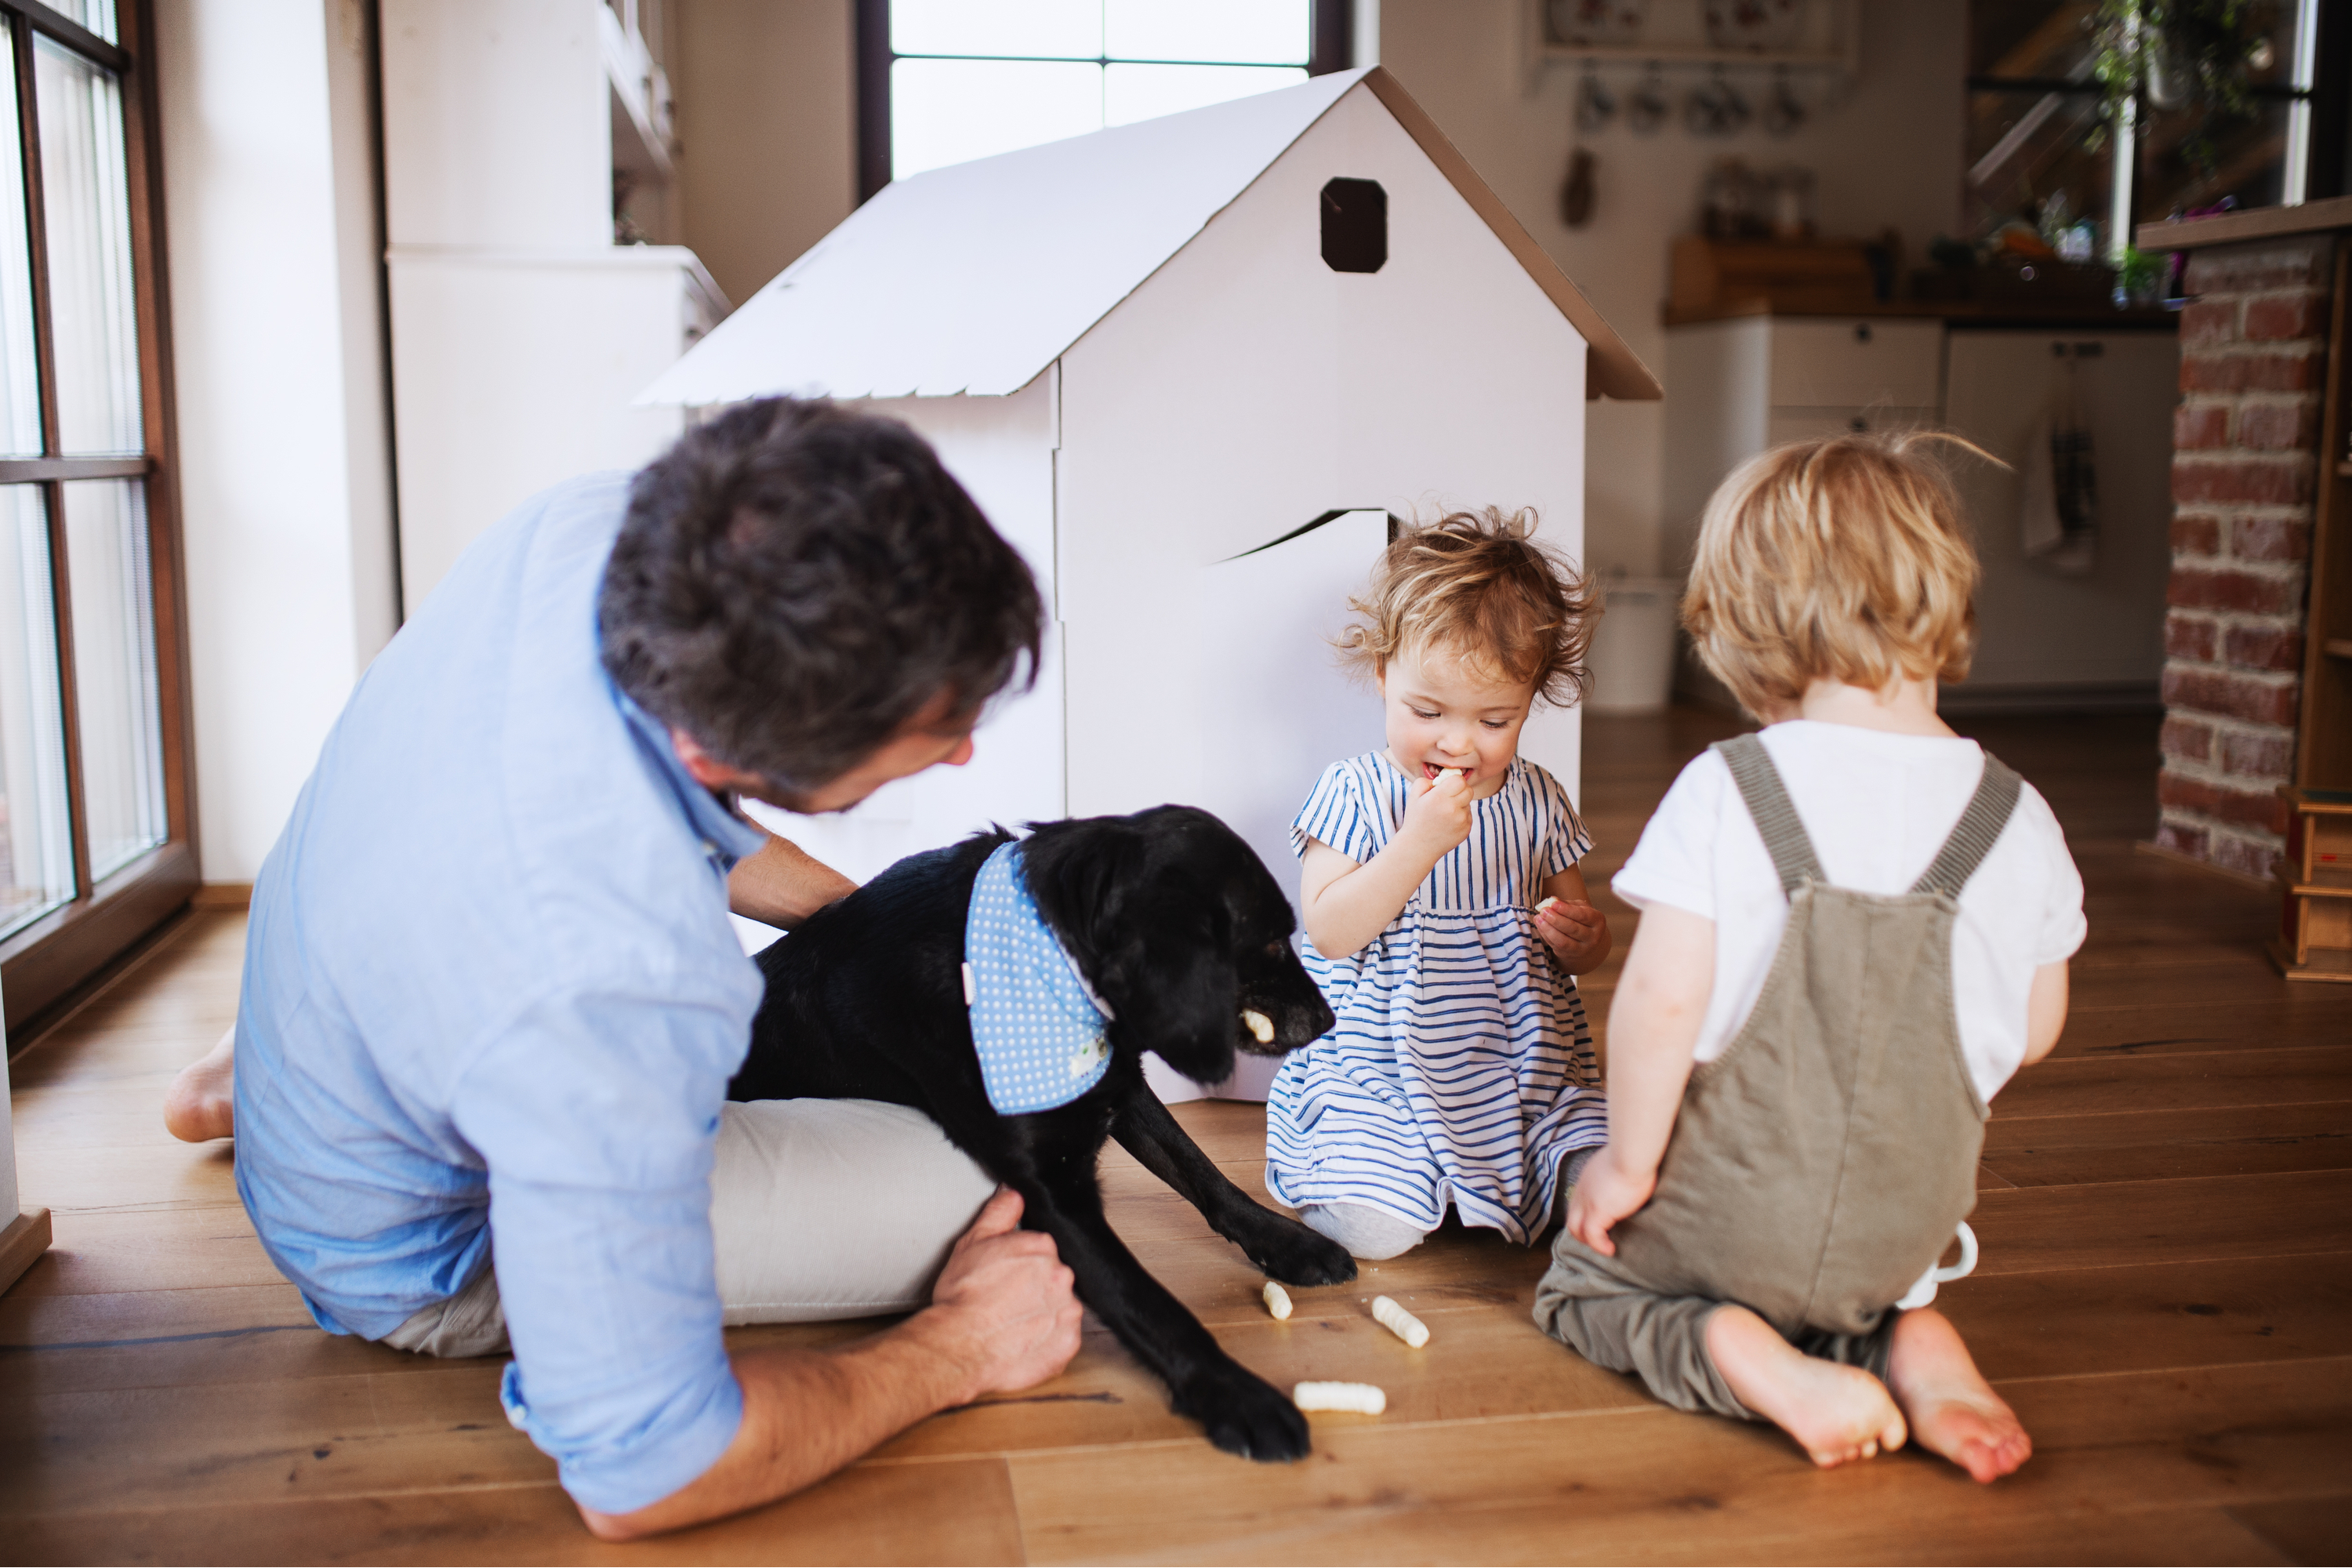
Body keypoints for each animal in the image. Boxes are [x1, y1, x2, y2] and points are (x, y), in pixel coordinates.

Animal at [734, 804, 1364, 1467]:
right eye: (1270, 941)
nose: (1329, 1020)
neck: (1051, 957)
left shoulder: (1120, 1087)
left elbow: (1204, 1174)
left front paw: (1287, 1243)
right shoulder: (1052, 1191)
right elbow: (1149, 1302)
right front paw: (1237, 1394)